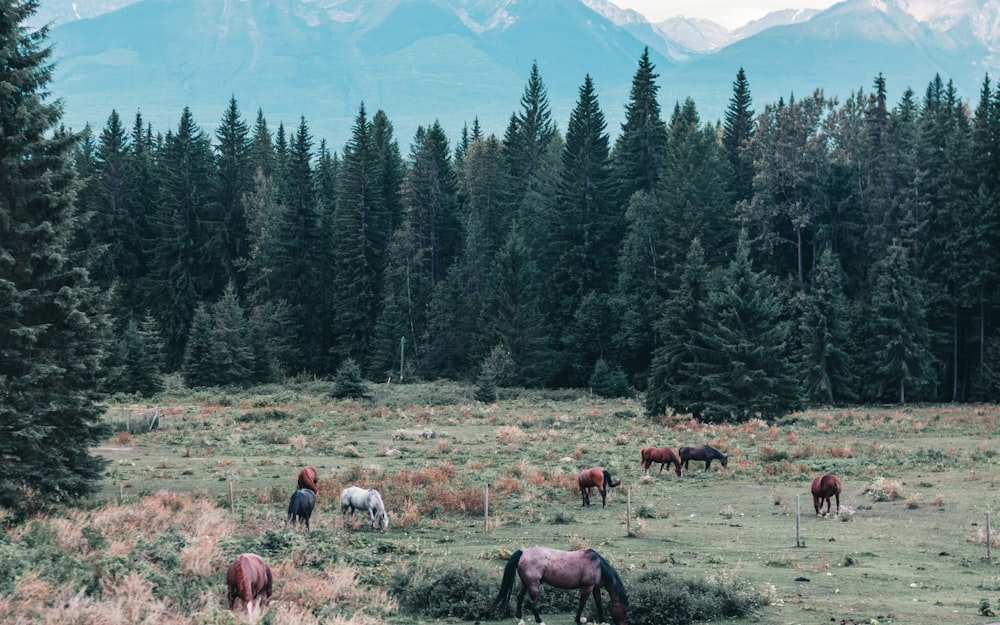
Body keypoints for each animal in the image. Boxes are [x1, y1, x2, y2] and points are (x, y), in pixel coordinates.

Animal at [476, 544, 624, 624]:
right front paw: (578, 620)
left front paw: (603, 620)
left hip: (525, 583)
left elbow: (598, 603)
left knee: (520, 597)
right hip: (533, 585)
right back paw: (540, 621)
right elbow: (582, 603)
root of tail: (523, 552)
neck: (597, 565)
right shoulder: (587, 588)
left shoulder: (595, 588)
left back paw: (520, 620)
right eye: (624, 609)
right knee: (531, 601)